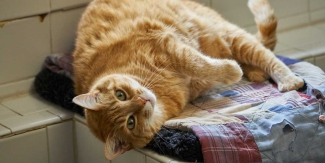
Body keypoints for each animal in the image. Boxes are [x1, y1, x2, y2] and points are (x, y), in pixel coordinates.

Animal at [71, 0, 304, 159]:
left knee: (266, 55)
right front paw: (230, 71)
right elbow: (202, 68)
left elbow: (199, 64)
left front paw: (230, 71)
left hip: (228, 34)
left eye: (121, 94)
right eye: (130, 122)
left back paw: (286, 79)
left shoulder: (168, 44)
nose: (143, 100)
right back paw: (255, 72)